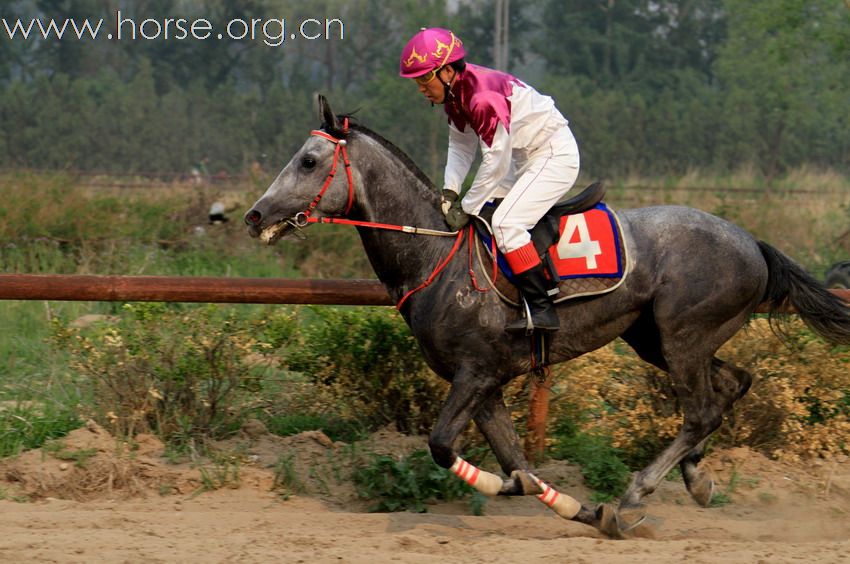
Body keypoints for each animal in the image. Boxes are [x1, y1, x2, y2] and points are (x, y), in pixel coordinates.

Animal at [242, 94, 848, 536]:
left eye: (308, 161)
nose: (253, 216)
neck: (435, 257)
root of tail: (753, 243)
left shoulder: (476, 374)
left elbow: (451, 450)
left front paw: (573, 502)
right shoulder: (485, 386)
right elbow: (519, 466)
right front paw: (588, 512)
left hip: (683, 336)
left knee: (701, 410)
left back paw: (638, 491)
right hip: (656, 338)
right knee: (731, 386)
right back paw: (694, 480)